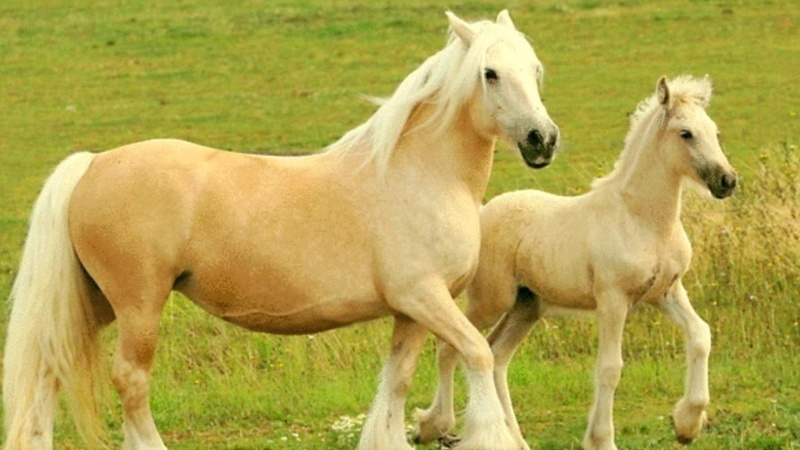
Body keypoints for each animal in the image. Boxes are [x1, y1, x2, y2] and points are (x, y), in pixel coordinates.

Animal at [2, 10, 560, 450]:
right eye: (490, 73)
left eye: (536, 69)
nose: (543, 140)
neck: (419, 173)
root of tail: (93, 164)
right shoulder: (425, 297)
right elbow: (477, 354)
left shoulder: (412, 310)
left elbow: (396, 383)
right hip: (139, 304)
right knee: (131, 381)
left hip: (92, 300)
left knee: (49, 371)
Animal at [414, 76, 737, 450]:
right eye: (686, 133)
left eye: (715, 132)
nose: (728, 181)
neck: (642, 220)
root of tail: (483, 211)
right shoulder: (613, 300)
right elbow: (610, 368)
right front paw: (603, 440)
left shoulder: (666, 292)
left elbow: (700, 334)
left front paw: (687, 424)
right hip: (492, 301)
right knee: (450, 347)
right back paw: (433, 425)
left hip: (527, 307)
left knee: (497, 356)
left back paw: (515, 440)